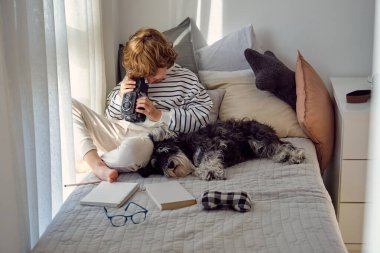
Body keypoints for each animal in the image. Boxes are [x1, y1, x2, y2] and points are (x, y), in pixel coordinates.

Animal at [138, 118, 304, 180]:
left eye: (165, 149)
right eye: (157, 166)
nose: (170, 165)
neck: (187, 148)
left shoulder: (210, 146)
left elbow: (205, 159)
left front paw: (210, 171)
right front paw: (207, 172)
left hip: (258, 140)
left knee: (282, 145)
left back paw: (294, 155)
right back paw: (284, 156)